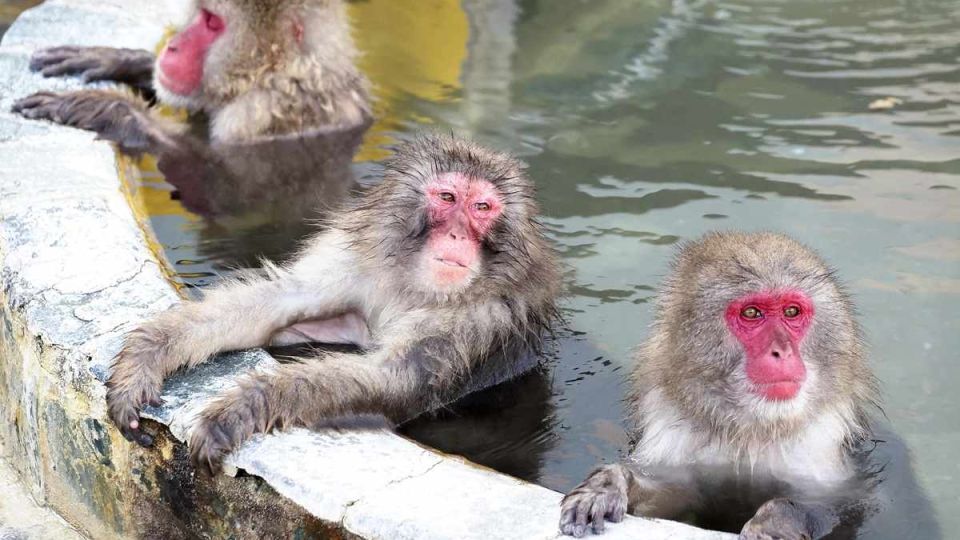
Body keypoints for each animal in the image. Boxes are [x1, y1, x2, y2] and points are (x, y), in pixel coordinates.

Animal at [12, 0, 371, 155]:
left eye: (212, 22)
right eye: (200, 13)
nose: (173, 46)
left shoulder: (263, 113)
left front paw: (103, 107)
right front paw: (119, 59)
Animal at [104, 134, 563, 474]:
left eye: (482, 207)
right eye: (448, 198)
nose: (457, 236)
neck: (416, 287)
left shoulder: (481, 316)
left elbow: (393, 379)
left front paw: (242, 407)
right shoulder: (356, 260)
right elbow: (284, 297)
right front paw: (147, 355)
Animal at [559, 232, 939, 539]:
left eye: (791, 312)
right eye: (752, 313)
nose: (781, 351)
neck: (751, 428)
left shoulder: (825, 458)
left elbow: (848, 507)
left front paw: (779, 519)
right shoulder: (676, 439)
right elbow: (671, 494)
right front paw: (609, 484)